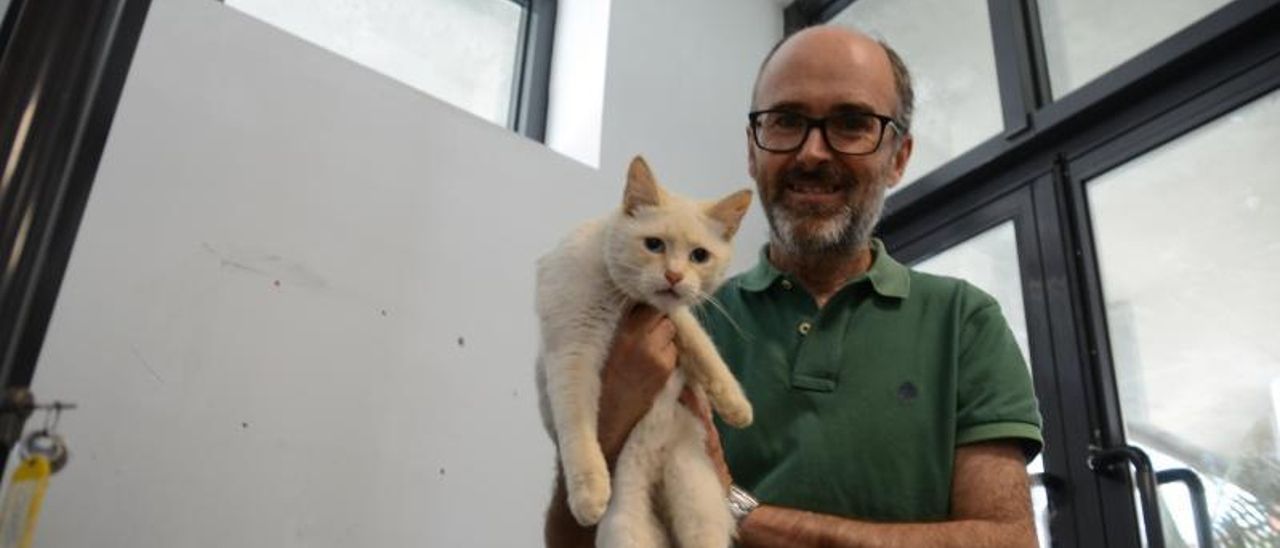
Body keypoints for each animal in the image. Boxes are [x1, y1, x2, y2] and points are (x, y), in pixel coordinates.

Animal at [535, 154, 752, 548]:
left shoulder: (672, 314)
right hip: (628, 526)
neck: (623, 300)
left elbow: (703, 348)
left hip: (698, 503)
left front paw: (736, 407)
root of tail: (655, 459)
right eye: (654, 245)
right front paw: (589, 494)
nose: (674, 276)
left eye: (699, 255)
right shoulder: (573, 350)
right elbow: (578, 424)